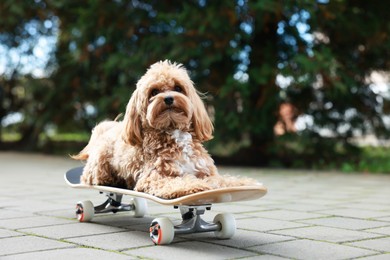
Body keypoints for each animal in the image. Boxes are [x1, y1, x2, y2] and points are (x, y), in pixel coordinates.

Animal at [72, 60, 256, 199]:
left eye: (178, 88)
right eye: (154, 92)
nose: (168, 98)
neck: (174, 132)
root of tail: (106, 132)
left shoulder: (206, 172)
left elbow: (224, 180)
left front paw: (244, 183)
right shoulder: (153, 177)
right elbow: (181, 181)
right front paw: (196, 186)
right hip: (99, 169)